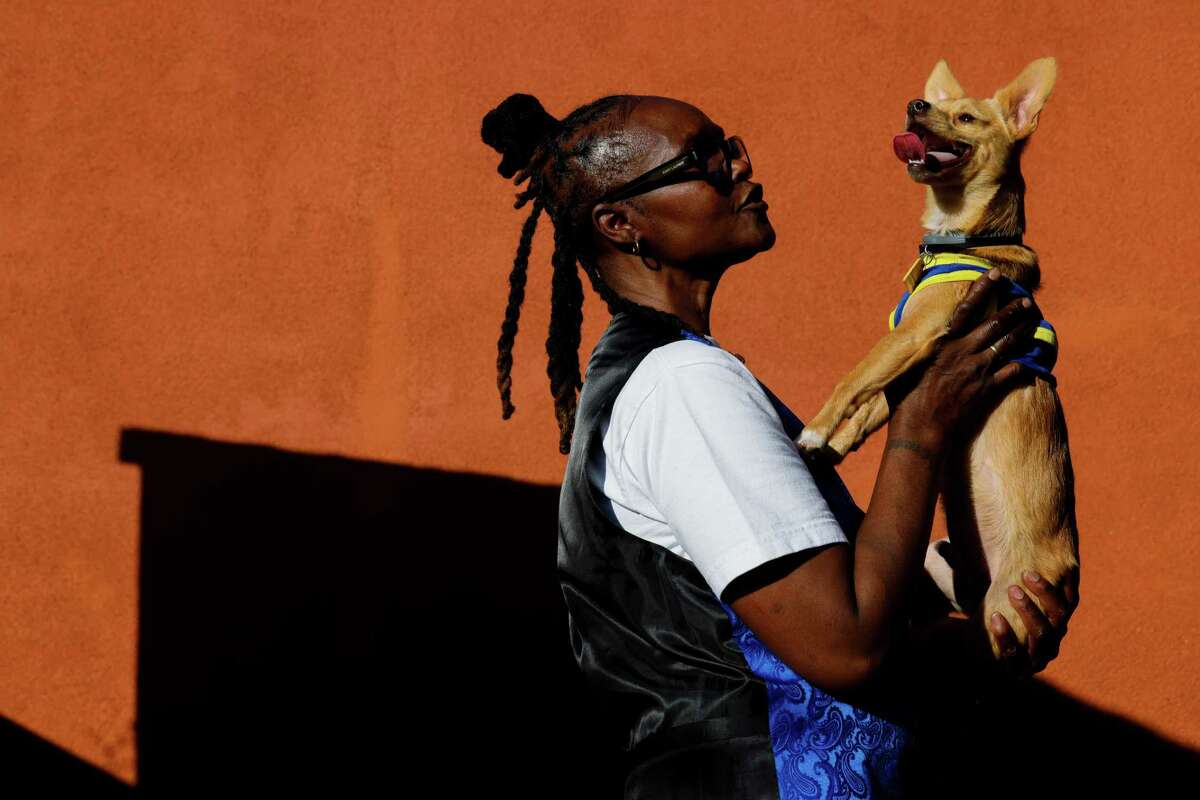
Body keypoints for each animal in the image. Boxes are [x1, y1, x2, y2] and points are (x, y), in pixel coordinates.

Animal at [796, 54, 1080, 657]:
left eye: (966, 118)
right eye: (933, 105)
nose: (915, 105)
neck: (962, 237)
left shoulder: (916, 333)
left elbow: (853, 378)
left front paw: (813, 431)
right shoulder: (915, 362)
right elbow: (871, 407)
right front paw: (830, 448)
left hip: (1006, 612)